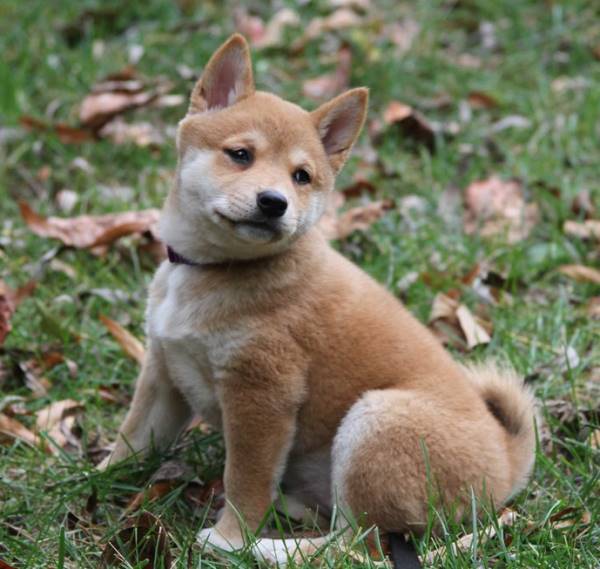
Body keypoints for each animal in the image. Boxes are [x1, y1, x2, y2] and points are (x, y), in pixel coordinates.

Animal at [101, 34, 536, 564]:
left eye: (301, 176)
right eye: (240, 154)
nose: (274, 202)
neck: (212, 270)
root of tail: (508, 464)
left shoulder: (261, 394)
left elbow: (244, 483)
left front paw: (229, 538)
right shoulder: (165, 368)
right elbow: (133, 438)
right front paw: (90, 478)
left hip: (375, 423)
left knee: (355, 547)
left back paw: (269, 549)